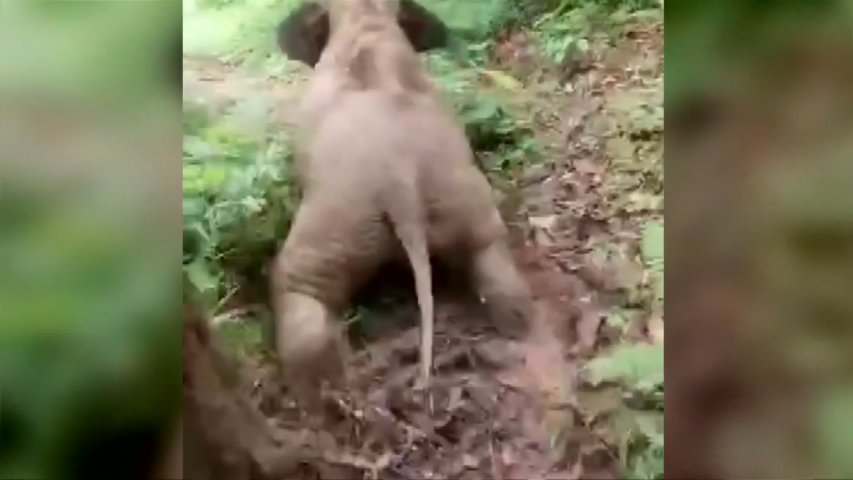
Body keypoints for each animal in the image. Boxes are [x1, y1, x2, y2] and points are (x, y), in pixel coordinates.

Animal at [271, 0, 534, 396]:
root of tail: (400, 184)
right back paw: (518, 325)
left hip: (329, 229)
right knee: (490, 254)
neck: (367, 21)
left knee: (299, 288)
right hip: (465, 200)